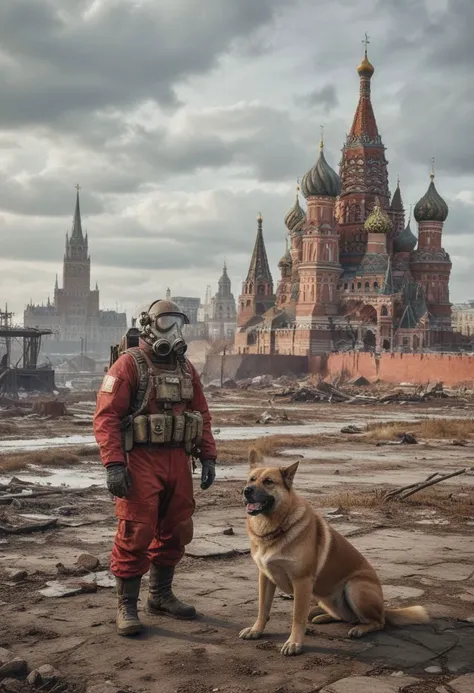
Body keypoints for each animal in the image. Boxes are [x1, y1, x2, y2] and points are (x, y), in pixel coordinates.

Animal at [239, 448, 428, 656]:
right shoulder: (265, 577)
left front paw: (294, 643)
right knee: (347, 617)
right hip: (324, 597)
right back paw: (323, 617)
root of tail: (384, 609)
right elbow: (262, 609)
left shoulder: (302, 582)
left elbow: (298, 617)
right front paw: (256, 630)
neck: (274, 526)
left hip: (355, 587)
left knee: (378, 622)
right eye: (251, 479)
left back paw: (360, 629)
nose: (246, 491)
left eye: (268, 481)